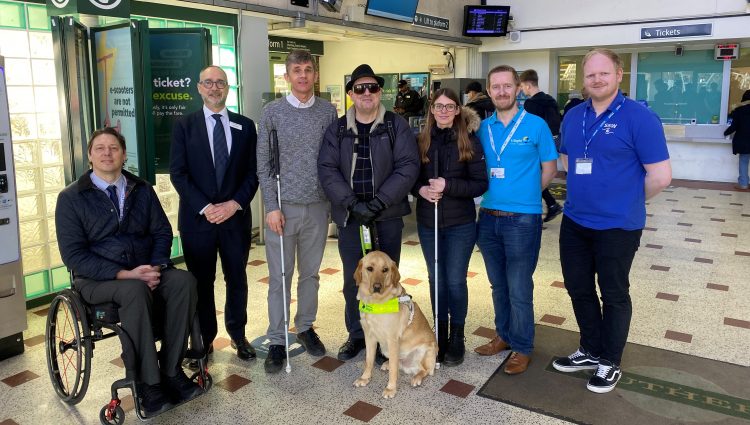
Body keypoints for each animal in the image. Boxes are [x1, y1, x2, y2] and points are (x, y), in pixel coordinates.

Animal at [354, 250, 438, 396]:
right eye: (369, 268)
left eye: (385, 270)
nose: (377, 287)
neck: (376, 303)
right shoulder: (369, 337)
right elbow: (368, 361)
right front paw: (365, 378)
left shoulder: (392, 339)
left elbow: (393, 371)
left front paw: (391, 388)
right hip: (386, 349)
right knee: (397, 362)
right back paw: (387, 364)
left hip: (426, 350)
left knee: (424, 370)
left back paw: (416, 378)